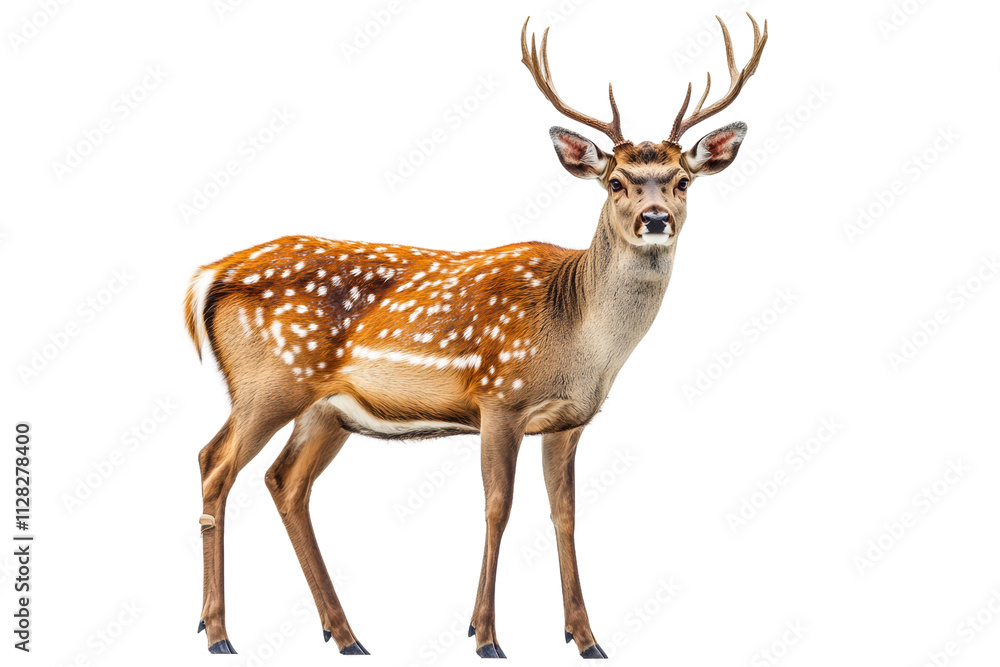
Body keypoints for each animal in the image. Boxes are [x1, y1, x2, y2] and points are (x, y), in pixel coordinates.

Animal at [185, 14, 767, 659]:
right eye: (615, 181)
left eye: (683, 180)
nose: (656, 218)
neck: (580, 341)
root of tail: (206, 277)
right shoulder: (499, 399)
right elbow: (497, 508)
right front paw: (485, 636)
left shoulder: (566, 422)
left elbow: (564, 514)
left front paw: (586, 638)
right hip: (269, 382)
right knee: (215, 464)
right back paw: (218, 633)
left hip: (325, 409)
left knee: (285, 482)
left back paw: (346, 635)